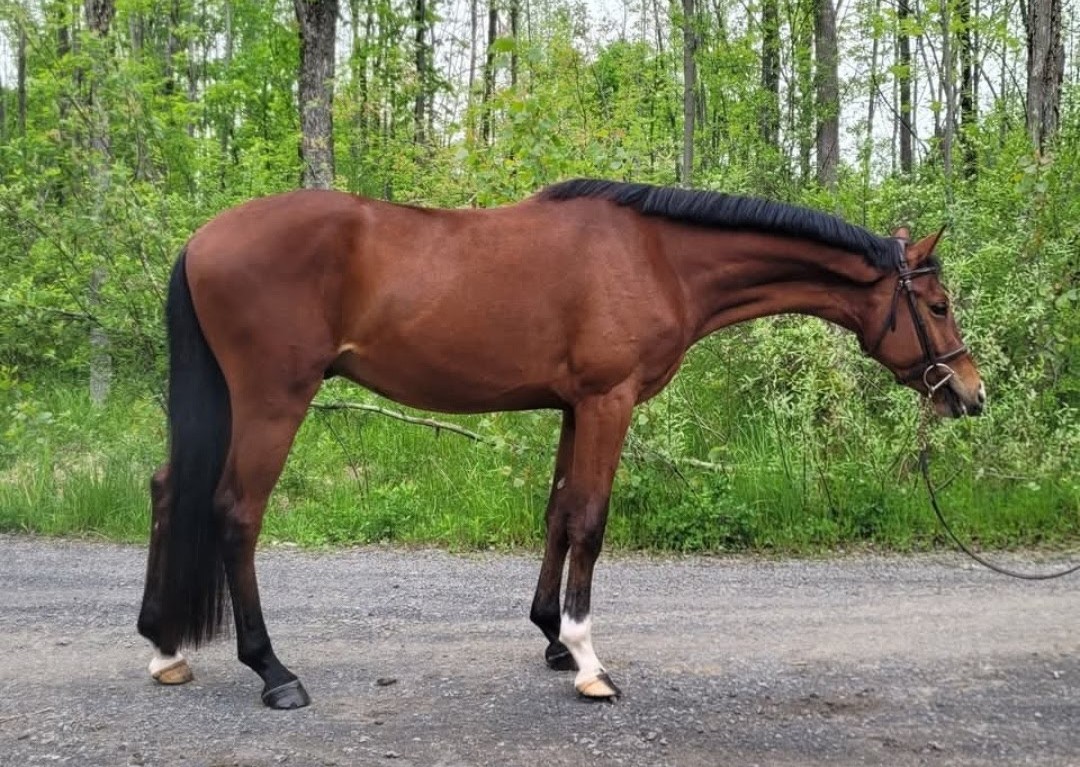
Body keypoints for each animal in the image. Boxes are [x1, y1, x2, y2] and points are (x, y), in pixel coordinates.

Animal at [136, 179, 985, 709]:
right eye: (939, 303)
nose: (971, 394)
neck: (657, 255)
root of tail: (201, 240)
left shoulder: (577, 406)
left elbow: (557, 513)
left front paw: (550, 636)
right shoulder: (610, 401)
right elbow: (591, 519)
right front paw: (586, 658)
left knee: (170, 490)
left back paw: (165, 645)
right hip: (273, 400)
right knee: (236, 513)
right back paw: (273, 670)